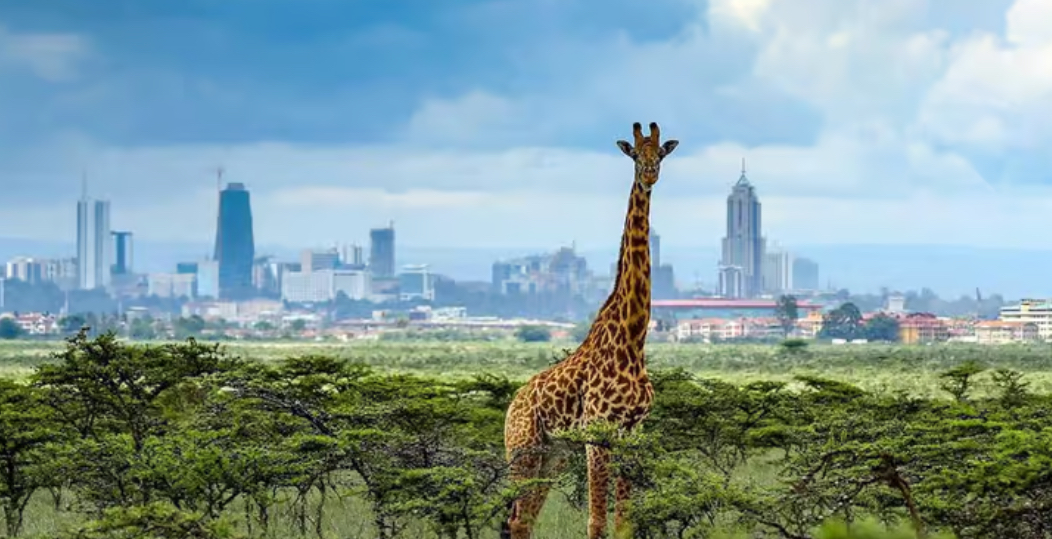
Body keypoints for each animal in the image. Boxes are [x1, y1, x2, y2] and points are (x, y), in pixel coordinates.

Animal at [502, 122, 679, 539]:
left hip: (552, 454)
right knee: (516, 519)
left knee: (525, 518)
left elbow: (623, 523)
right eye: (636, 154)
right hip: (523, 448)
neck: (633, 339)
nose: (649, 175)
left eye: (661, 154)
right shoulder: (597, 433)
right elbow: (596, 522)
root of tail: (511, 405)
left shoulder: (631, 434)